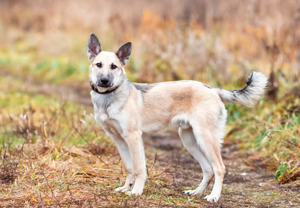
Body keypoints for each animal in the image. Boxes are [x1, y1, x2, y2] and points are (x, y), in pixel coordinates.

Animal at [86, 33, 268, 202]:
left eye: (114, 66)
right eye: (99, 65)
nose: (104, 80)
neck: (108, 98)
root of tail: (212, 89)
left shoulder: (133, 137)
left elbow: (139, 168)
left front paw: (136, 191)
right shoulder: (118, 139)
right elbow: (129, 167)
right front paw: (126, 188)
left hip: (205, 138)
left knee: (219, 168)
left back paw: (213, 196)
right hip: (189, 140)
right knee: (208, 169)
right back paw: (196, 192)